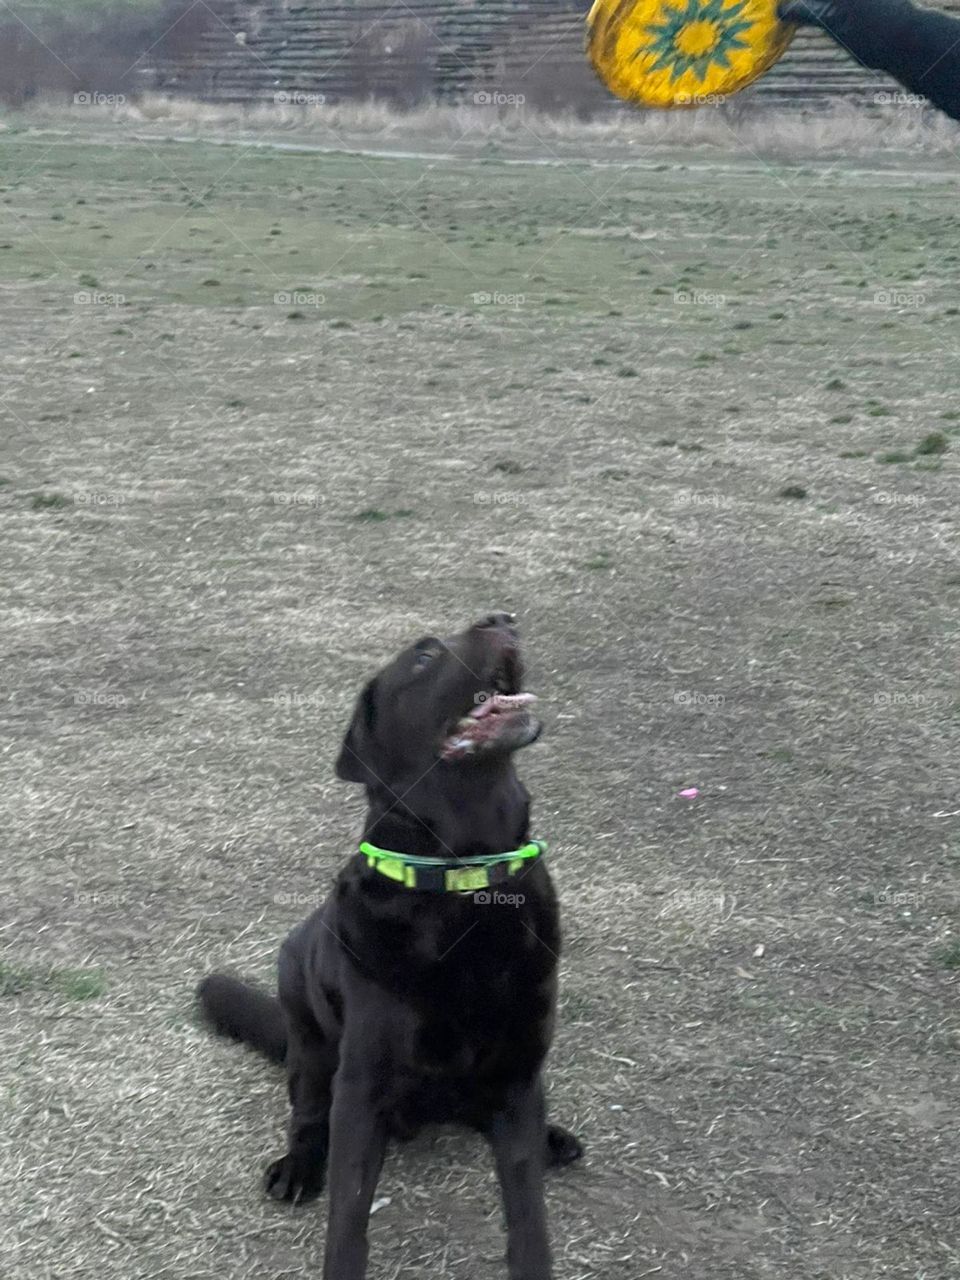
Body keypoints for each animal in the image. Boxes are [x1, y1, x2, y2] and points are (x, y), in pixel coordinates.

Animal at [199, 614, 583, 1274]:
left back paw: (554, 1136)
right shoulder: (362, 1088)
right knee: (307, 1113)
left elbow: (528, 1217)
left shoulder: (517, 1075)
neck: (465, 880)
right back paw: (297, 1167)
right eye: (424, 657)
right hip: (309, 1043)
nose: (503, 619)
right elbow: (348, 1219)